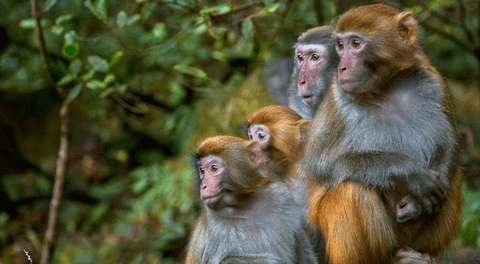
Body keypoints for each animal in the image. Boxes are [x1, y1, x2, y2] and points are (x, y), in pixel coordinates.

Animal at [187, 136, 318, 264]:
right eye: (202, 170)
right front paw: (269, 261)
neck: (244, 205)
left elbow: (306, 256)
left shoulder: (282, 199)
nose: (203, 186)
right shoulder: (213, 225)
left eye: (214, 168)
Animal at [300, 4, 462, 264]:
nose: (341, 67)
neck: (385, 88)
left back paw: (420, 255)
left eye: (356, 43)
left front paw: (416, 205)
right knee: (352, 187)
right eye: (340, 45)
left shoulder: (432, 81)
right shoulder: (337, 100)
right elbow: (321, 165)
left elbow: (449, 143)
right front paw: (409, 172)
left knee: (453, 177)